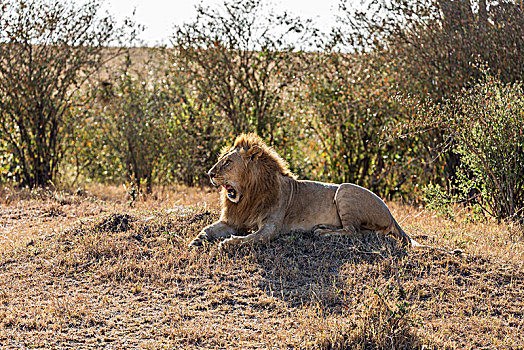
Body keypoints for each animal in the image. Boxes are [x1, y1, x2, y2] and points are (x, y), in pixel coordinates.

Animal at [188, 132, 454, 252]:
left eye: (227, 162)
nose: (209, 173)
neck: (248, 196)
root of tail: (392, 214)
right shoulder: (232, 219)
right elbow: (208, 228)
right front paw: (197, 240)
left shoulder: (271, 228)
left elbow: (251, 238)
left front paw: (228, 244)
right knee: (359, 232)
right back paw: (323, 228)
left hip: (345, 191)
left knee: (353, 232)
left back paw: (323, 233)